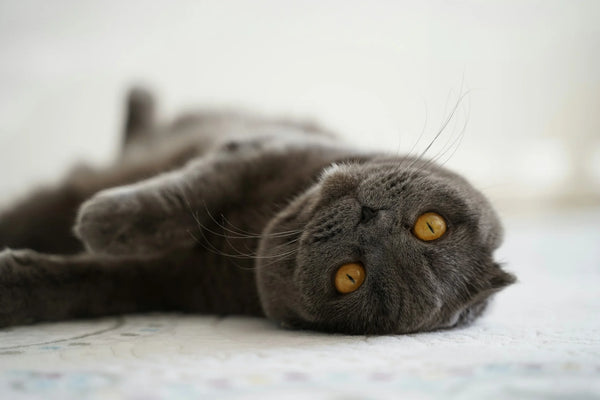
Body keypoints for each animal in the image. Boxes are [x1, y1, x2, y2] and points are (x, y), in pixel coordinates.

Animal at [0, 88, 516, 334]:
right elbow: (186, 192)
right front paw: (102, 219)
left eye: (350, 277)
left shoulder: (161, 282)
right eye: (432, 226)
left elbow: (75, 286)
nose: (371, 219)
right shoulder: (259, 149)